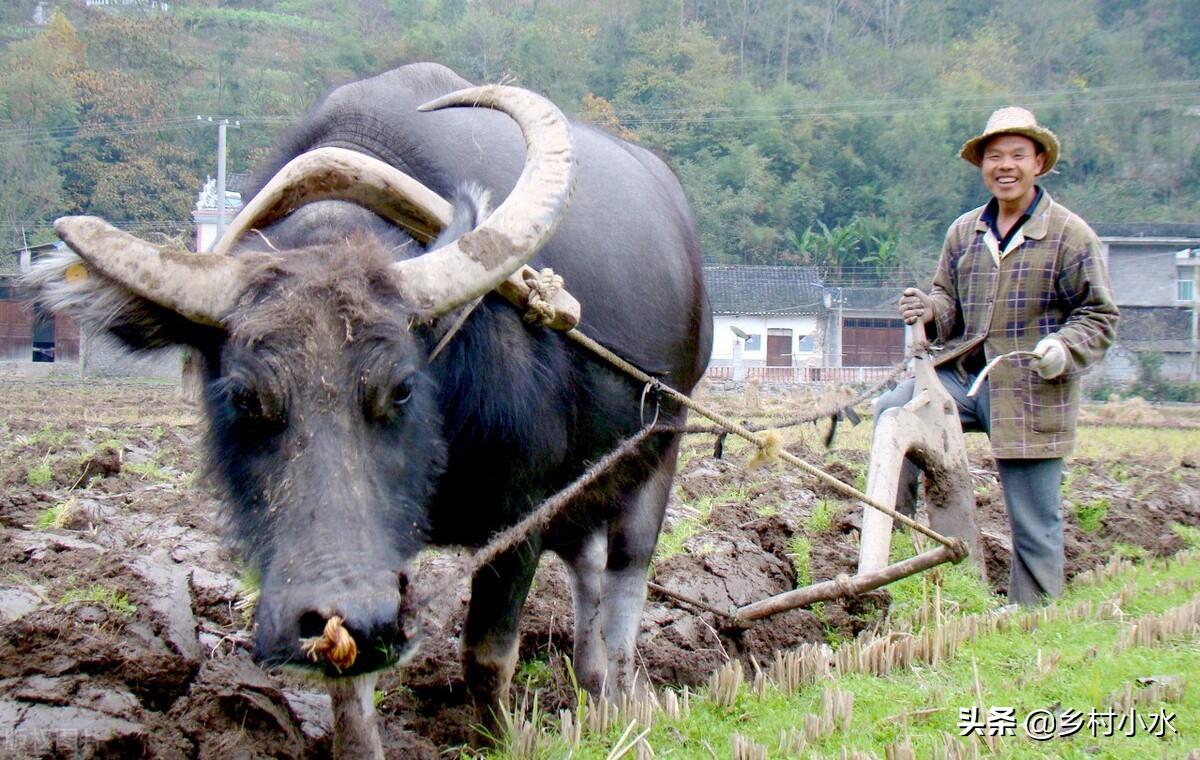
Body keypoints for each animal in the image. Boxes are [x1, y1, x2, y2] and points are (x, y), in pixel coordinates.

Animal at [25, 62, 710, 720]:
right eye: (243, 397)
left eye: (402, 389)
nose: (343, 612)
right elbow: (352, 693)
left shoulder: (524, 509)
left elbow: (488, 657)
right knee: (587, 567)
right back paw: (592, 692)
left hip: (662, 442)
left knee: (625, 575)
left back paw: (620, 697)